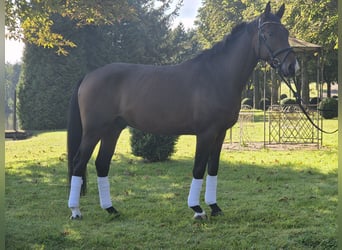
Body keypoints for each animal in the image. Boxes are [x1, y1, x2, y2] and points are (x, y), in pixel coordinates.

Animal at [67, 2, 296, 220]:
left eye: (285, 32)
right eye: (269, 34)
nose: (292, 67)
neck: (217, 75)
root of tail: (89, 76)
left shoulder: (220, 133)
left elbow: (213, 168)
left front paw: (214, 207)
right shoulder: (205, 133)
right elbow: (198, 168)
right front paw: (197, 209)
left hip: (112, 130)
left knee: (101, 164)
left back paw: (111, 209)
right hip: (93, 131)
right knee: (79, 163)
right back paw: (76, 211)